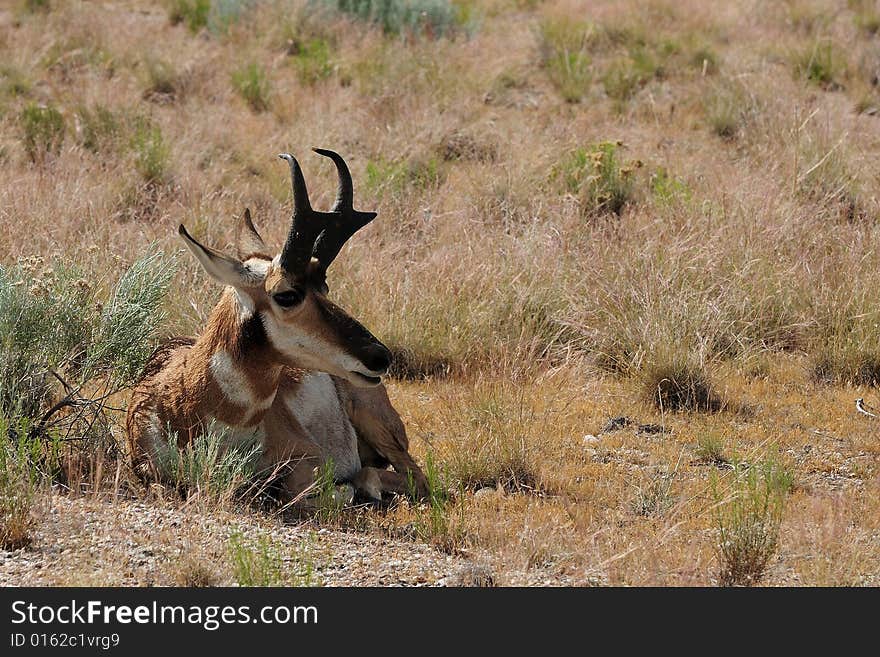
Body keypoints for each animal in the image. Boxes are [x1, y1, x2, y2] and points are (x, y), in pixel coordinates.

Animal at [126, 149, 430, 504]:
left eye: (324, 286)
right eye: (287, 294)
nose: (380, 356)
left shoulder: (310, 458)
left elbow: (297, 488)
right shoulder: (147, 471)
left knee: (414, 479)